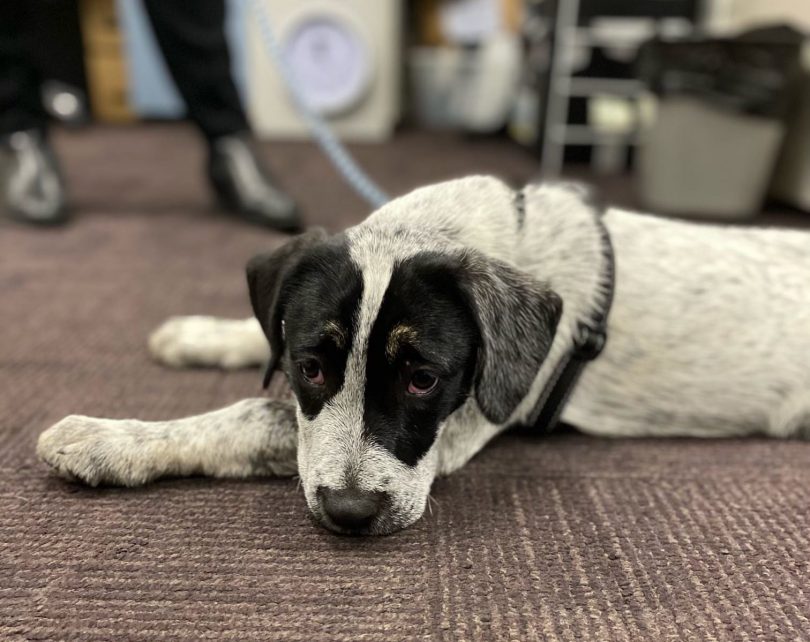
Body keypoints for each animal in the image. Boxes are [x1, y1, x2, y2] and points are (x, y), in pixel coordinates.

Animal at [34, 176, 808, 536]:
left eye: (424, 379)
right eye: (312, 366)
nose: (349, 514)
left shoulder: (460, 428)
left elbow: (253, 416)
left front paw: (104, 440)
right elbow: (264, 341)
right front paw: (195, 334)